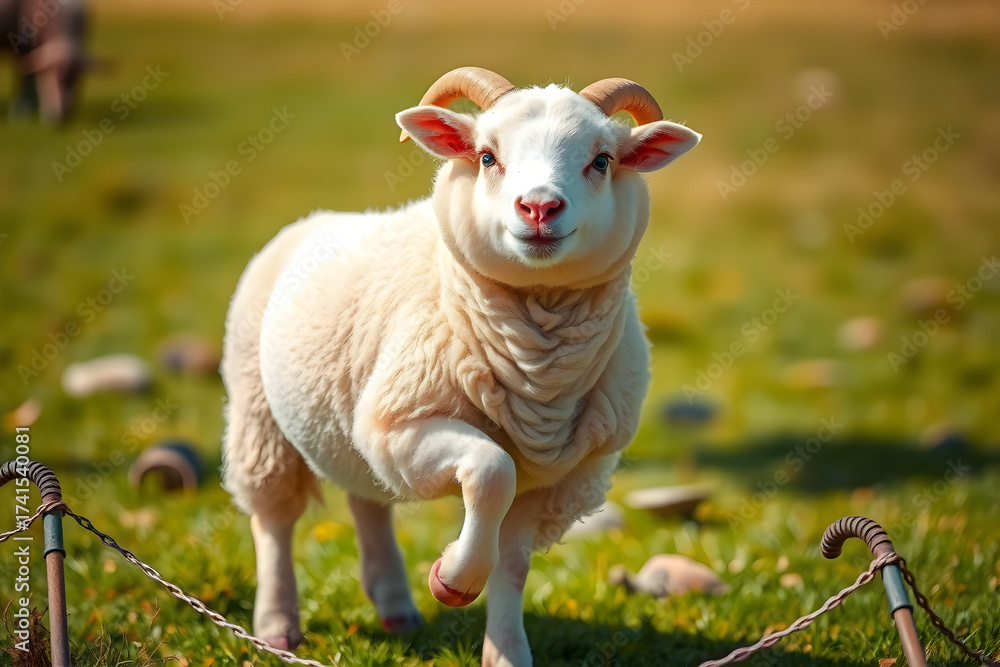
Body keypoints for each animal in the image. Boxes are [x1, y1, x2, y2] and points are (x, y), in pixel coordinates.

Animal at [220, 66, 701, 667]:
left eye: (603, 160)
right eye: (488, 156)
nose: (539, 208)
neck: (537, 373)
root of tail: (314, 219)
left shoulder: (571, 477)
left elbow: (513, 564)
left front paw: (507, 651)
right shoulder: (400, 426)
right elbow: (492, 472)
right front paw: (451, 578)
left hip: (349, 427)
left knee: (367, 499)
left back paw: (396, 607)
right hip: (258, 412)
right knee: (273, 518)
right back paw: (277, 624)